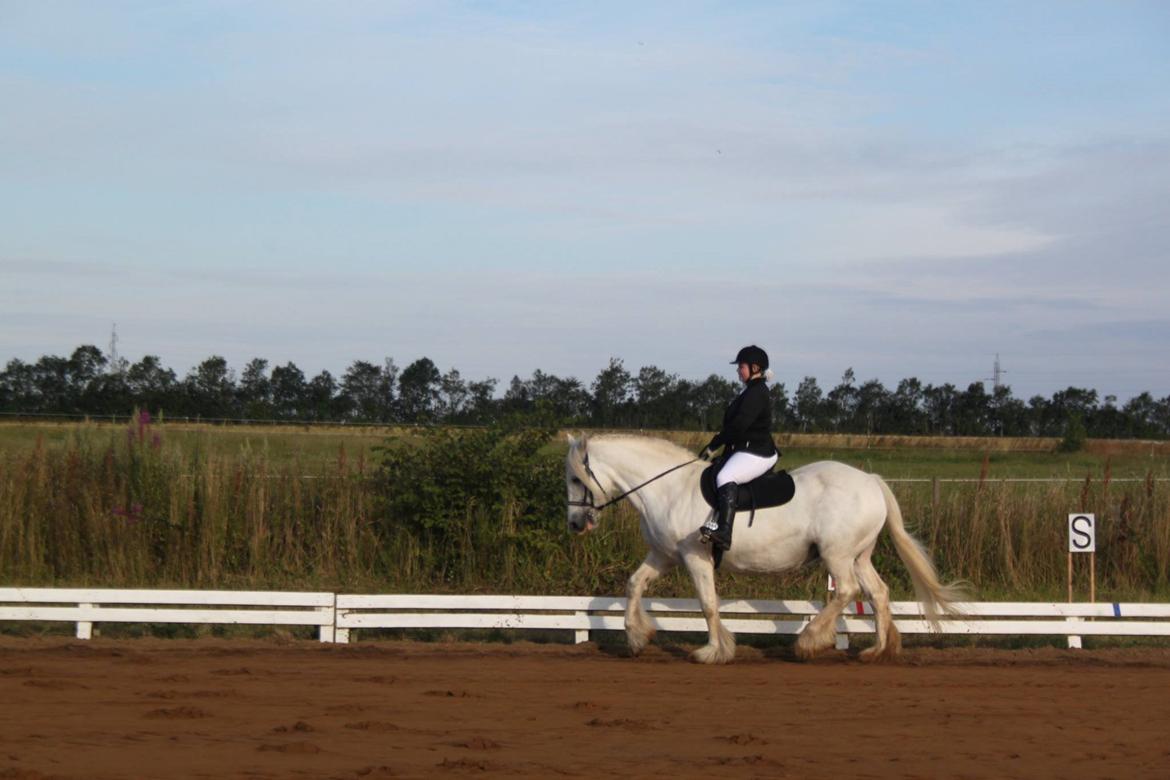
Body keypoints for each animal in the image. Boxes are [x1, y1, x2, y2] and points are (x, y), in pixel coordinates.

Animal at [561, 432, 964, 664]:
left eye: (575, 478)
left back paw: (809, 643)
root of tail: (871, 480)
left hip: (837, 554)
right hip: (858, 555)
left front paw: (713, 651)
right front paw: (635, 638)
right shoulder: (664, 555)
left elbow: (708, 603)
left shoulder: (695, 556)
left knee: (846, 591)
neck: (667, 487)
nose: (576, 524)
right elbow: (634, 584)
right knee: (878, 593)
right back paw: (876, 650)